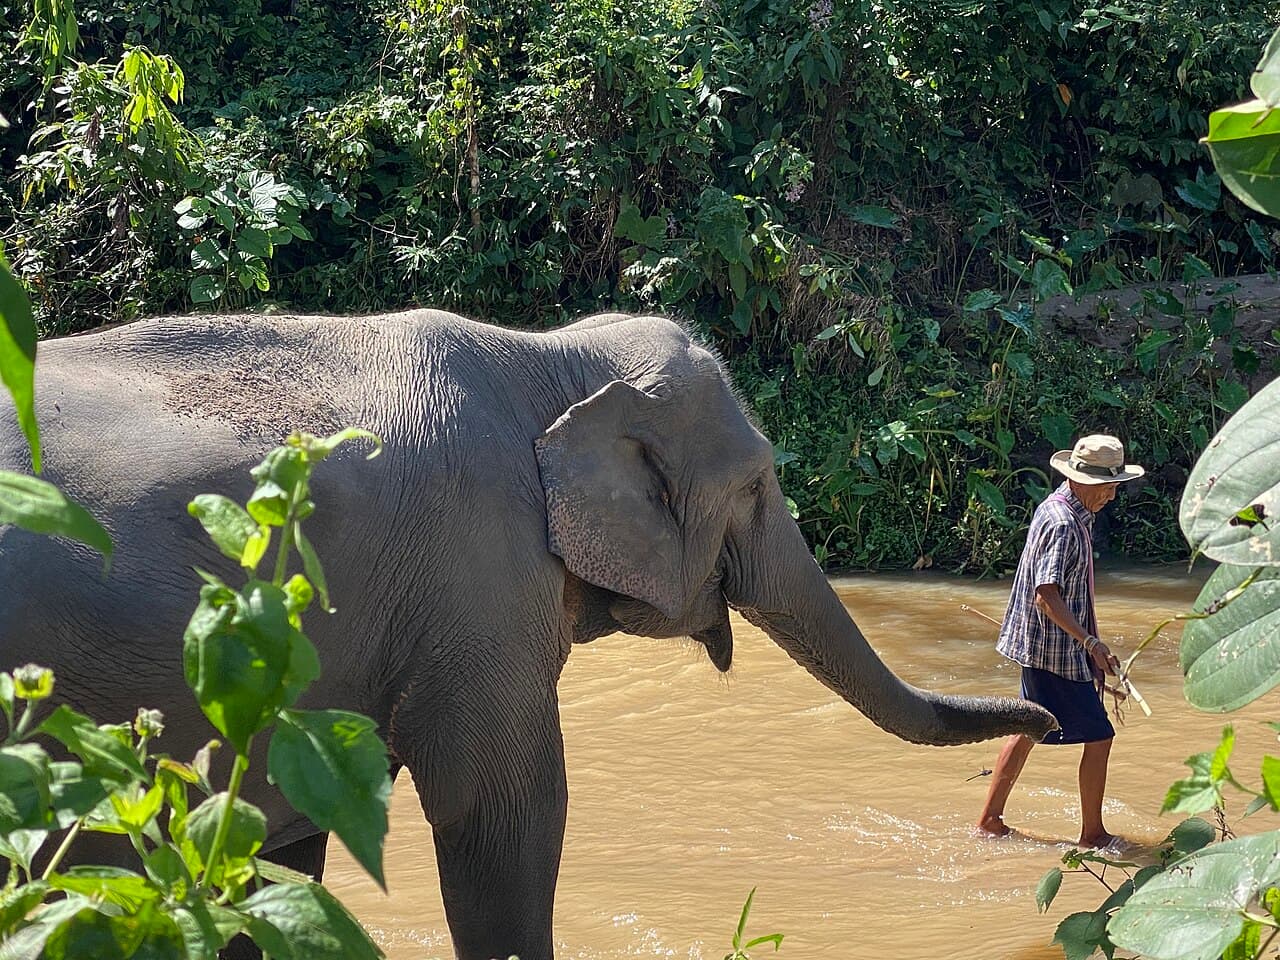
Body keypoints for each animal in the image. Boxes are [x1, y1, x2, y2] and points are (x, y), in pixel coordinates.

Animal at [0, 309, 1055, 959]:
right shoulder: (478, 581)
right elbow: (504, 817)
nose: (1048, 717)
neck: (548, 355)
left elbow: (277, 853)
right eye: (757, 485)